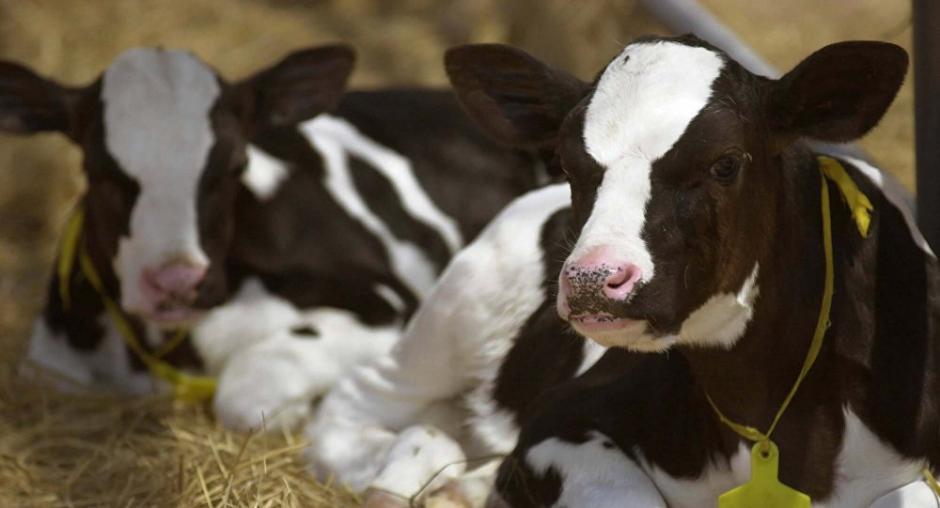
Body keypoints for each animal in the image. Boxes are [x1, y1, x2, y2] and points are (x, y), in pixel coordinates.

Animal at [0, 45, 542, 431]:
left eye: (233, 165)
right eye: (98, 171)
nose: (178, 282)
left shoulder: (385, 304)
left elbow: (248, 390)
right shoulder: (53, 364)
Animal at [306, 35, 940, 507]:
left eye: (725, 163)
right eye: (566, 161)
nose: (593, 279)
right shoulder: (561, 424)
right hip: (453, 316)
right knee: (358, 405)